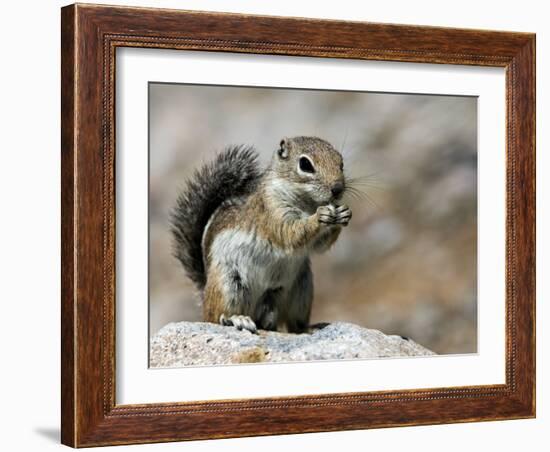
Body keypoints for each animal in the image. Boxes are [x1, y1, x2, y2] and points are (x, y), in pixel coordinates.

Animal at [172, 136, 354, 334]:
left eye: (341, 163)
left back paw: (306, 328)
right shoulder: (272, 211)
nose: (338, 188)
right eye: (305, 164)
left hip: (301, 289)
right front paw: (319, 216)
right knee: (215, 317)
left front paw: (343, 213)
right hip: (228, 283)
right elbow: (290, 234)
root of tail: (204, 291)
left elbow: (319, 246)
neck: (307, 203)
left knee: (292, 324)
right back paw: (236, 319)